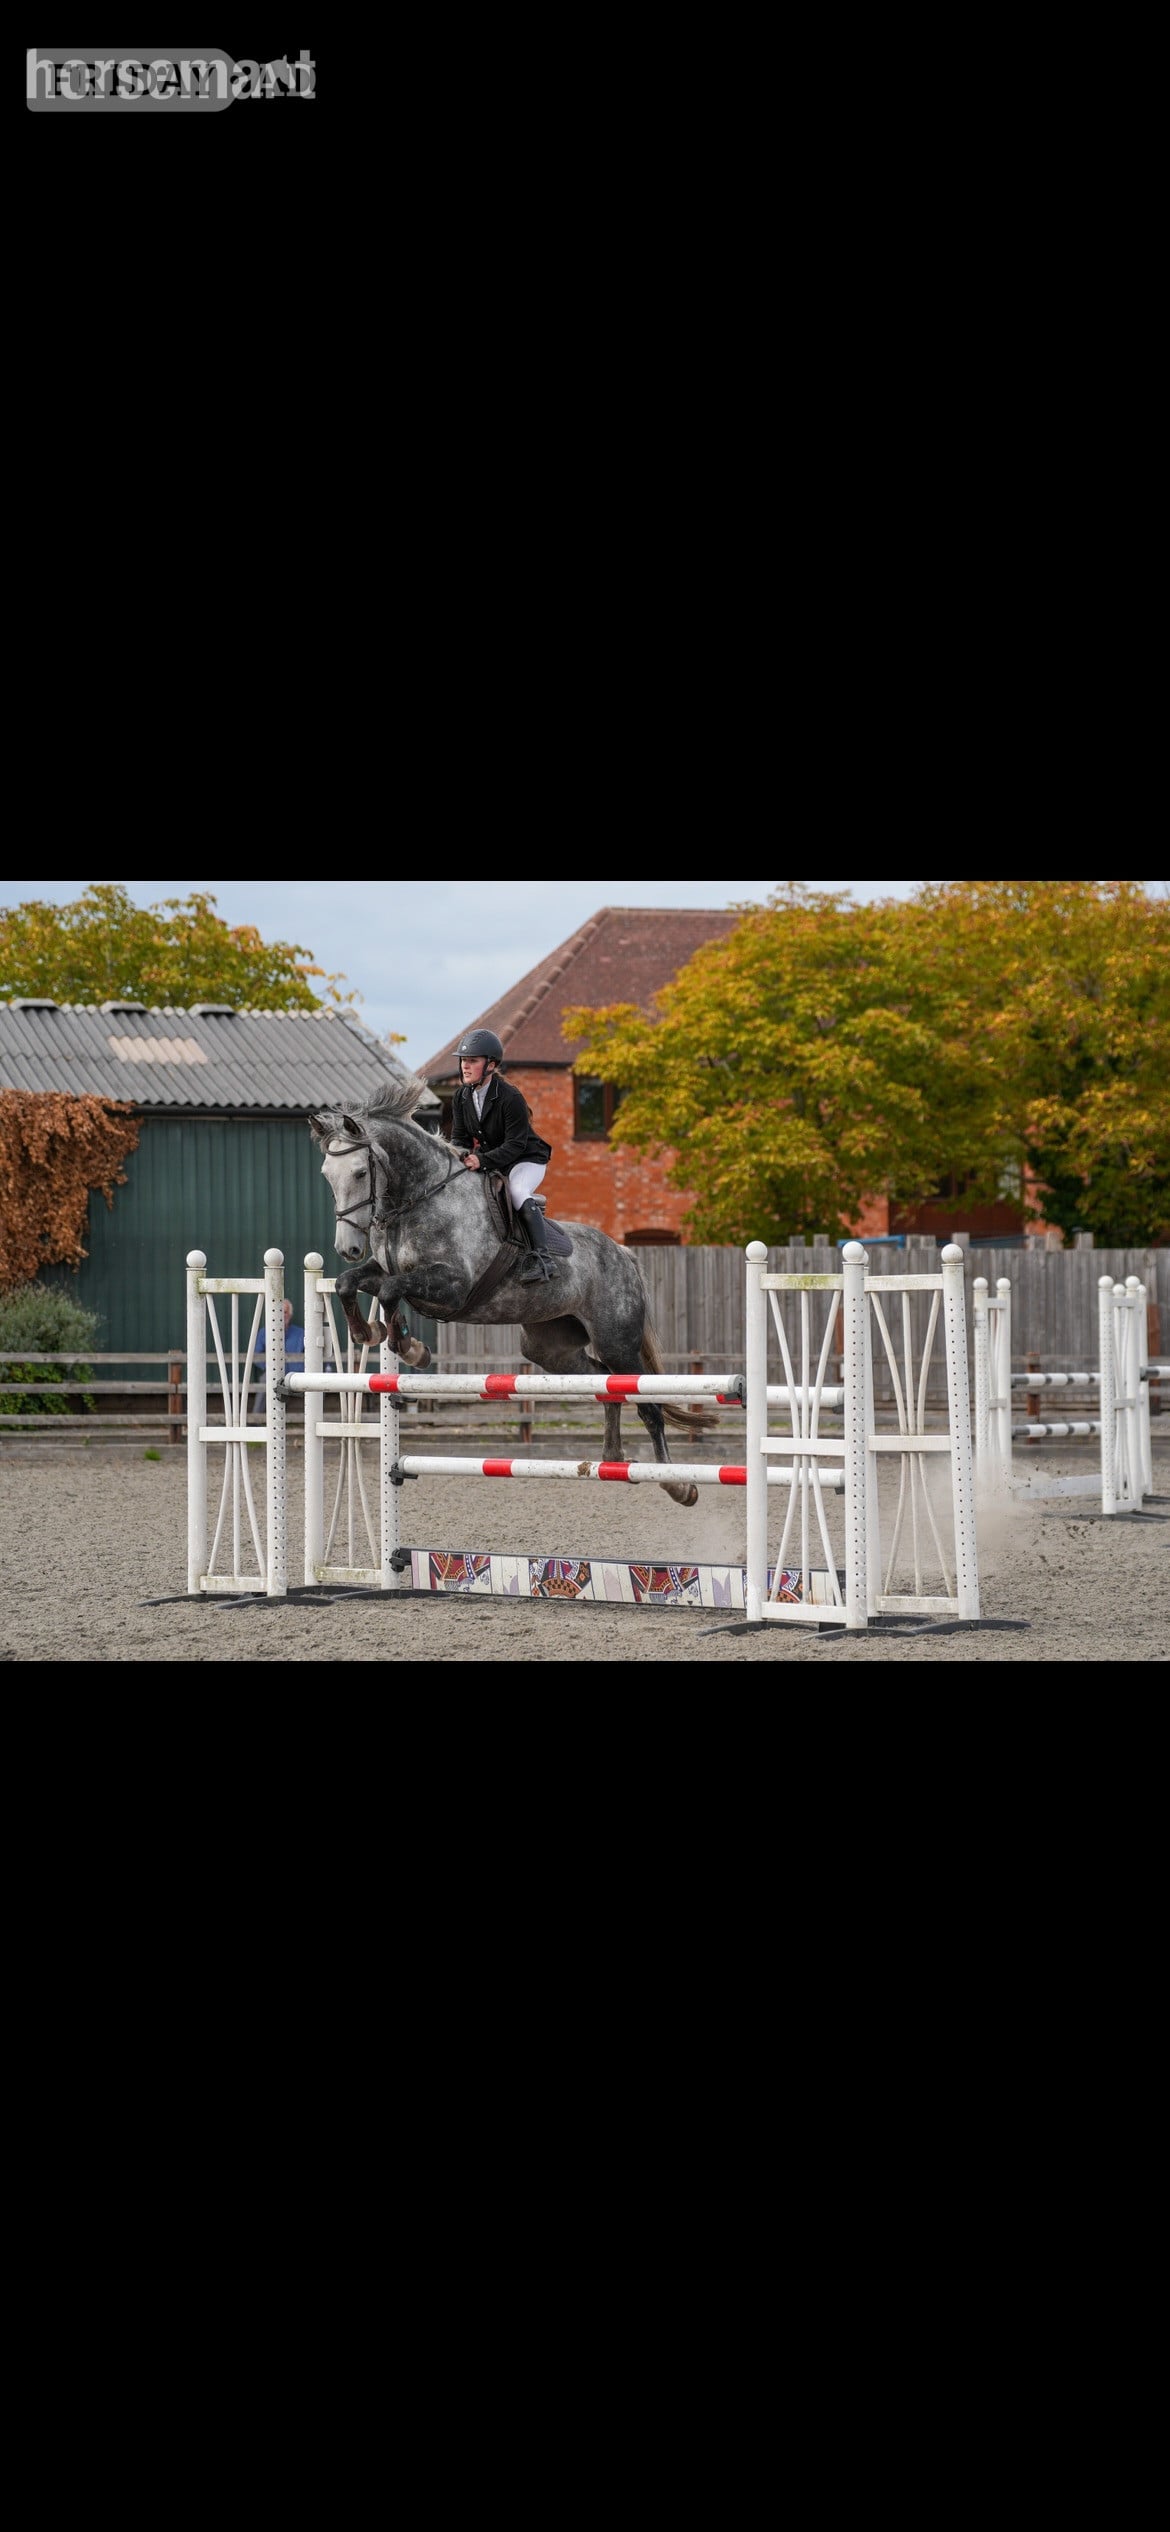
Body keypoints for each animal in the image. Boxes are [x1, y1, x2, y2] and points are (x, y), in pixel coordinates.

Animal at [309, 1072, 716, 1507]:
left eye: (359, 1173)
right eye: (326, 1175)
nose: (347, 1248)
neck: (418, 1200)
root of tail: (623, 1254)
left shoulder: (452, 1286)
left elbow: (389, 1292)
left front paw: (409, 1347)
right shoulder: (385, 1271)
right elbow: (352, 1284)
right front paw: (371, 1333)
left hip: (617, 1342)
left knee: (646, 1404)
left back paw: (678, 1485)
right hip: (548, 1347)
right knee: (604, 1385)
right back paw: (612, 1458)